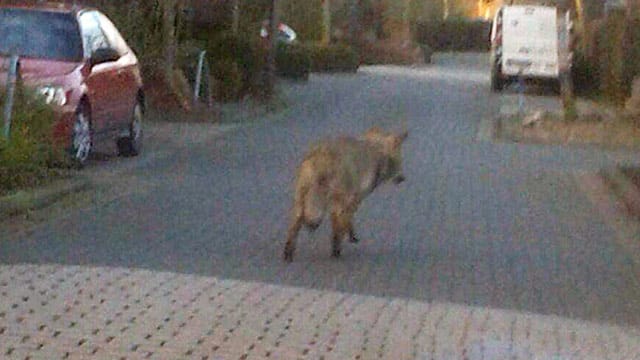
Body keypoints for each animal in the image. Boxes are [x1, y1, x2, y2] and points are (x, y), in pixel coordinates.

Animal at [282, 126, 408, 262]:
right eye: (400, 160)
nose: (403, 178)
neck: (377, 151)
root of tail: (321, 156)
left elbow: (340, 223)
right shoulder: (354, 198)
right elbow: (344, 223)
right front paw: (349, 237)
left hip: (300, 200)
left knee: (293, 228)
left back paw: (288, 255)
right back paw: (336, 252)